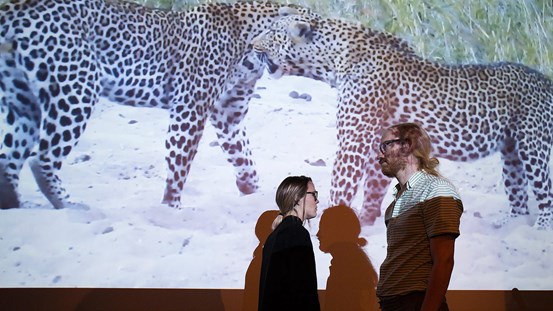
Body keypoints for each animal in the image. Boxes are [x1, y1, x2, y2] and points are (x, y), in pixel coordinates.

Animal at [0, 0, 310, 211]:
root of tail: (17, 7)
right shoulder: (190, 106)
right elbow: (179, 162)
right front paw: (171, 208)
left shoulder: (229, 113)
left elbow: (243, 157)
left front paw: (253, 192)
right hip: (77, 88)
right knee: (40, 158)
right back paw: (70, 206)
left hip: (23, 102)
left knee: (8, 160)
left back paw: (14, 206)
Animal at [251, 13, 552, 230]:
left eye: (272, 33)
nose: (252, 45)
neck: (333, 61)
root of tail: (545, 81)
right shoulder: (378, 138)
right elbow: (374, 187)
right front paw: (367, 220)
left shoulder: (353, 140)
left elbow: (341, 184)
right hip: (511, 150)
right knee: (518, 196)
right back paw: (509, 226)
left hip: (533, 144)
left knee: (545, 192)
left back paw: (540, 228)